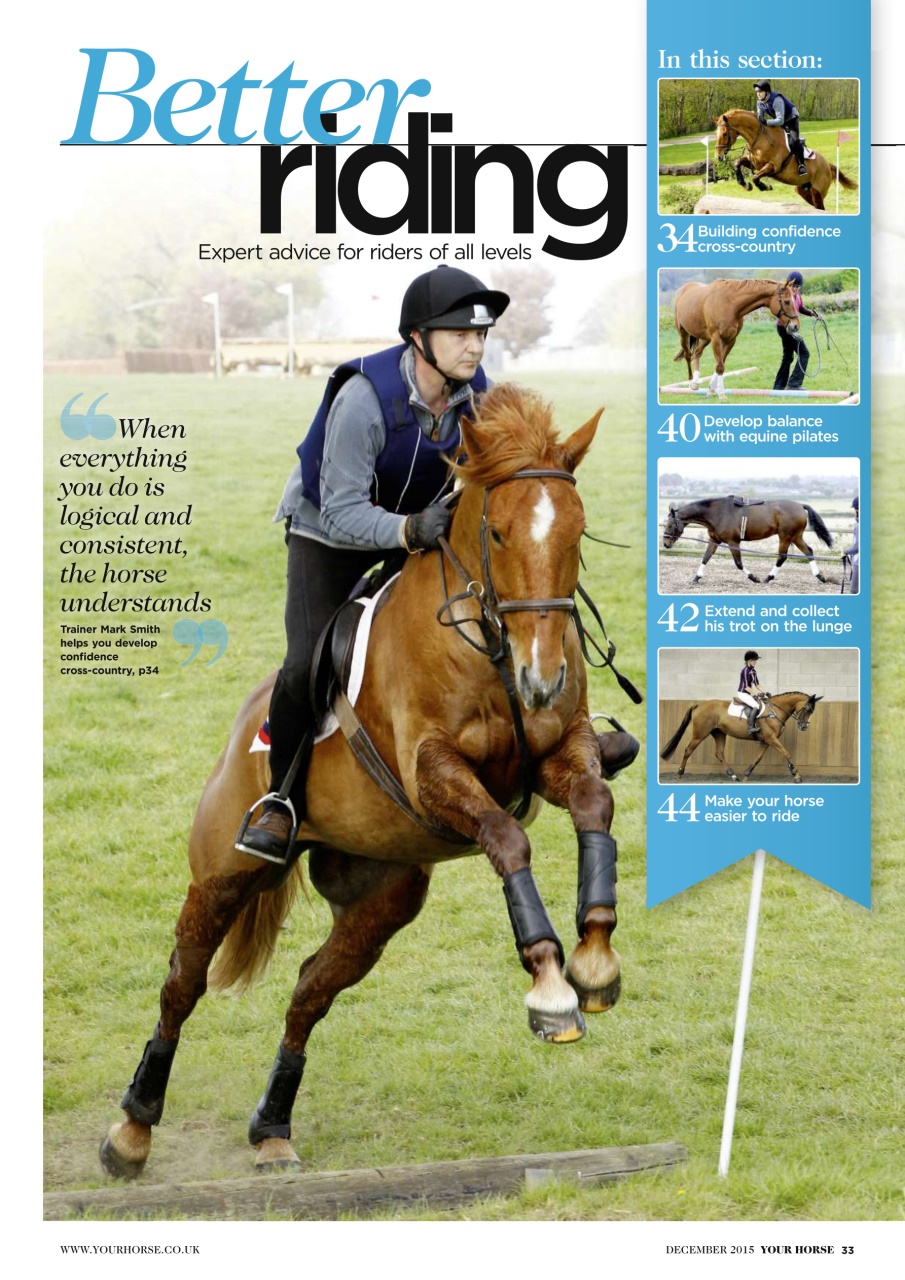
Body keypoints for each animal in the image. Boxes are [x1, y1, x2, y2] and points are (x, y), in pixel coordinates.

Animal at [99, 385, 641, 1181]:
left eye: (577, 534)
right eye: (499, 534)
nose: (541, 682)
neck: (485, 643)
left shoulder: (556, 752)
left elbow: (594, 804)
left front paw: (595, 960)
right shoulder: (431, 772)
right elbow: (507, 839)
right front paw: (549, 988)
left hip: (380, 897)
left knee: (308, 991)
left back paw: (272, 1129)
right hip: (225, 871)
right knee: (183, 982)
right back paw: (131, 1130)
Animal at [660, 691, 823, 784]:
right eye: (808, 709)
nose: (804, 727)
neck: (774, 711)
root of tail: (699, 705)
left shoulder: (766, 741)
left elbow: (757, 759)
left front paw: (746, 775)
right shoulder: (771, 739)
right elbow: (786, 753)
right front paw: (796, 776)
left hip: (719, 733)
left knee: (719, 753)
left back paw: (733, 776)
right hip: (700, 734)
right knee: (688, 750)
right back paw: (679, 774)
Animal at [662, 496, 833, 585]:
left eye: (670, 524)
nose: (665, 543)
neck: (718, 513)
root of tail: (800, 506)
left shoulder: (733, 543)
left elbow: (738, 564)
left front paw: (753, 577)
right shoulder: (714, 540)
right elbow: (705, 558)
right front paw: (696, 578)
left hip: (785, 537)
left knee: (782, 557)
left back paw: (768, 578)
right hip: (796, 537)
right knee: (809, 551)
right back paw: (820, 576)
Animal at [714, 110, 857, 211]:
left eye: (725, 134)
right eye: (716, 134)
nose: (718, 157)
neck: (759, 139)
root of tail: (828, 165)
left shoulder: (773, 166)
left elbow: (755, 177)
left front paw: (764, 186)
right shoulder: (754, 164)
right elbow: (737, 163)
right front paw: (745, 184)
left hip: (817, 191)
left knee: (820, 207)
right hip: (803, 190)